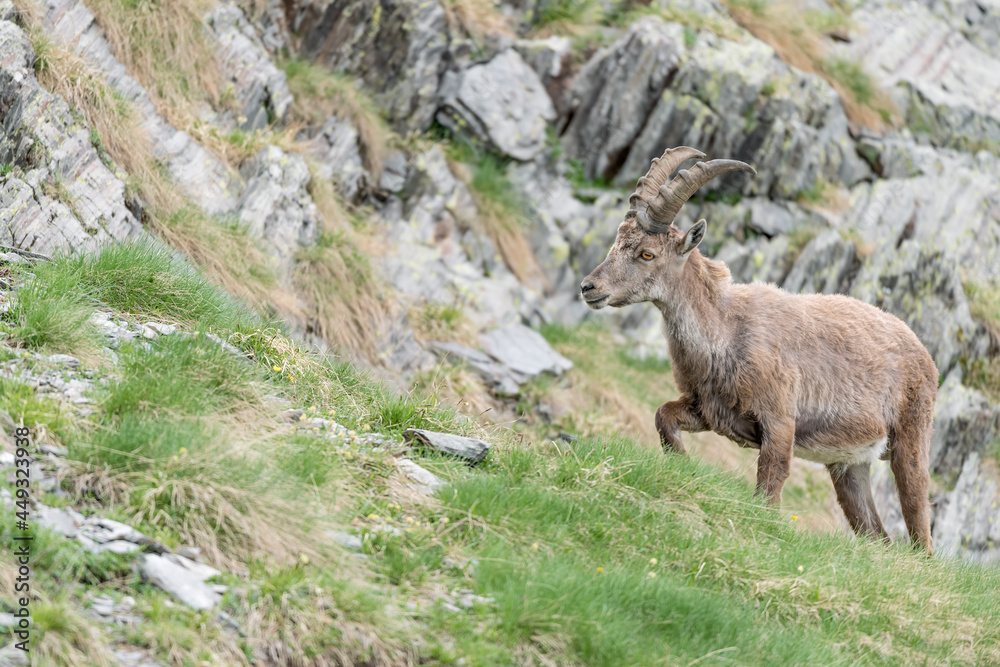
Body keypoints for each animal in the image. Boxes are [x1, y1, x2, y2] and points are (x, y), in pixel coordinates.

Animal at [580, 146, 937, 553]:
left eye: (646, 254)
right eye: (617, 241)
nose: (589, 287)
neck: (726, 331)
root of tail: (923, 352)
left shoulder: (779, 421)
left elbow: (770, 486)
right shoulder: (709, 408)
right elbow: (663, 416)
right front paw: (683, 466)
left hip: (911, 438)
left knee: (919, 526)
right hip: (849, 464)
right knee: (877, 535)